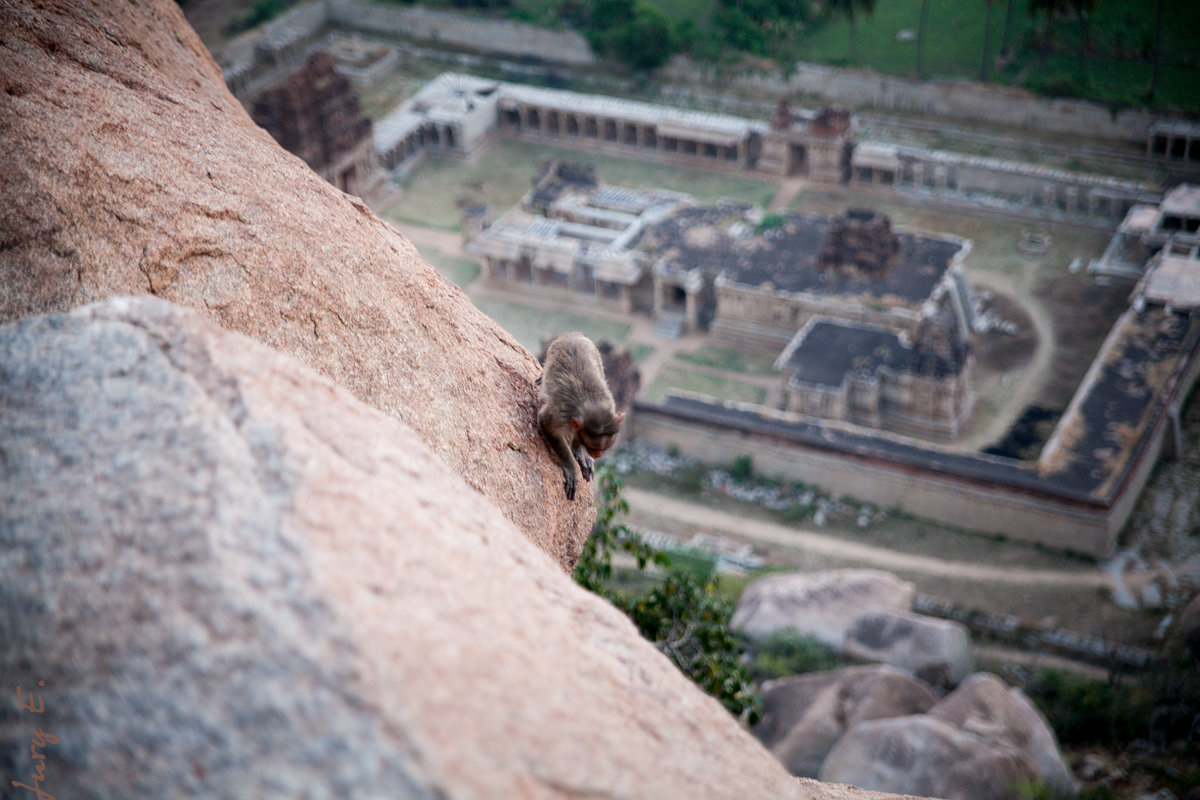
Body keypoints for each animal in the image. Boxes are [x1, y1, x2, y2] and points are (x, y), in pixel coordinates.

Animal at [537, 331, 624, 501]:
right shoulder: (560, 414)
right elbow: (546, 424)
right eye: (593, 447)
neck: (592, 403)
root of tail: (572, 335)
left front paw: (580, 451)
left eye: (605, 447)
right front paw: (570, 467)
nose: (598, 454)